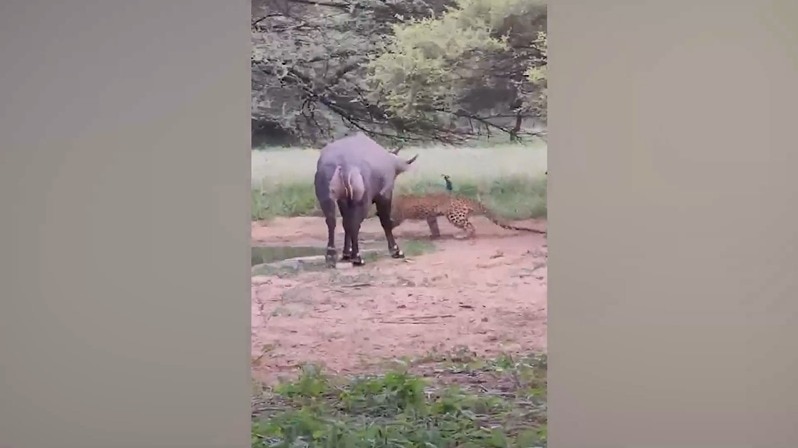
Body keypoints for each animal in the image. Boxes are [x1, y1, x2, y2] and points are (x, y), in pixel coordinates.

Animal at [390, 191, 546, 239]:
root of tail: (466, 198)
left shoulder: (398, 216)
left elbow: (390, 224)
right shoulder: (431, 216)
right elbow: (434, 226)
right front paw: (434, 236)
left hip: (454, 216)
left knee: (471, 227)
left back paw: (462, 236)